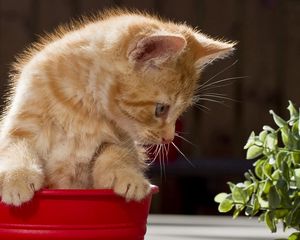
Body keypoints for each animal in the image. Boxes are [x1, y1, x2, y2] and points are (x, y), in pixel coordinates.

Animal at [0, 8, 234, 204]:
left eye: (179, 111)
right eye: (161, 109)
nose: (168, 138)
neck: (83, 109)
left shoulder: (123, 138)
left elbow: (118, 153)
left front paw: (128, 176)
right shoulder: (20, 125)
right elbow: (15, 149)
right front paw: (16, 178)